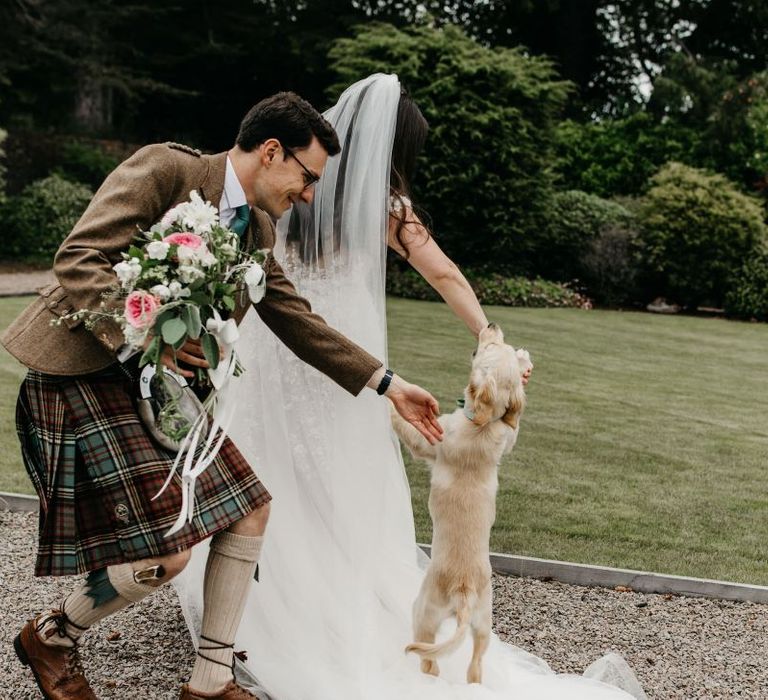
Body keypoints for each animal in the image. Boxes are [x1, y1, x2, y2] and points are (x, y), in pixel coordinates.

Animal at [390, 326, 536, 688]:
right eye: (499, 344)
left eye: (490, 345)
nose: (491, 324)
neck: (482, 424)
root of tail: (465, 591)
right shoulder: (508, 436)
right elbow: (515, 424)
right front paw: (524, 362)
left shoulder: (428, 441)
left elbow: (407, 425)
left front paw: (394, 402)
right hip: (484, 627)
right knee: (475, 668)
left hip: (424, 611)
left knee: (430, 661)